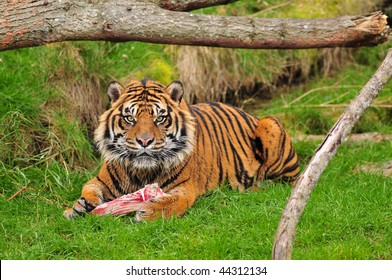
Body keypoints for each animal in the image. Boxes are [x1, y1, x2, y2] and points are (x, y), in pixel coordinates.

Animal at [62, 78, 298, 221]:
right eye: (130, 118)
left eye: (160, 118)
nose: (144, 141)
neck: (141, 172)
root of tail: (251, 114)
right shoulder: (100, 180)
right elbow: (88, 188)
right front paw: (78, 207)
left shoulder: (185, 188)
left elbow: (173, 201)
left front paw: (149, 211)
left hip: (271, 124)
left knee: (281, 182)